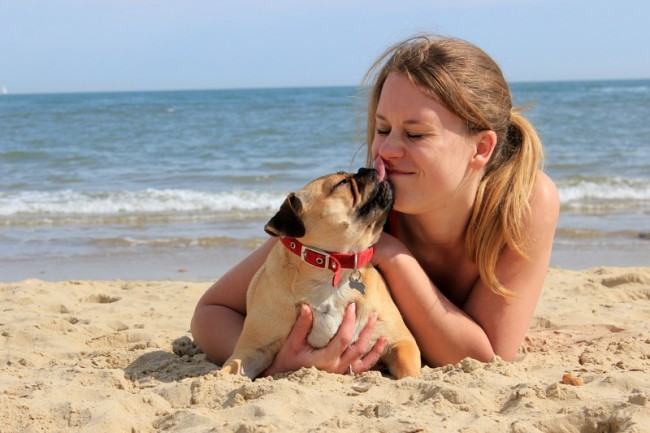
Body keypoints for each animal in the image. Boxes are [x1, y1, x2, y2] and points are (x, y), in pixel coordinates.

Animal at [219, 166, 420, 378]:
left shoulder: (401, 341)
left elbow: (410, 374)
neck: (331, 271)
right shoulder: (251, 349)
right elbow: (228, 371)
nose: (367, 168)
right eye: (343, 183)